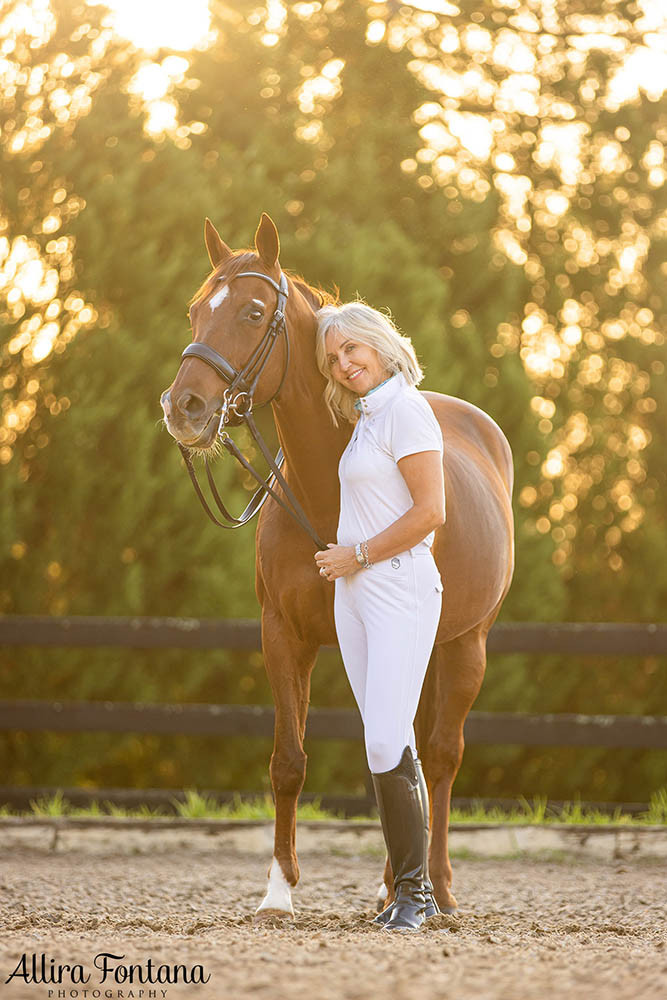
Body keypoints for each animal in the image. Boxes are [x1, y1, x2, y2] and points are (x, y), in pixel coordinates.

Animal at [162, 213, 516, 920]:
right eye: (194, 310)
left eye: (251, 311)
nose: (182, 406)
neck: (327, 492)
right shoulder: (283, 636)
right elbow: (289, 761)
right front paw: (277, 892)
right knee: (404, 748)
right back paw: (394, 883)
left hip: (467, 642)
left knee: (440, 756)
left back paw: (437, 888)